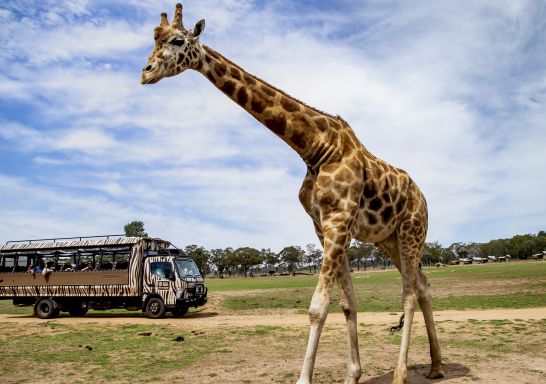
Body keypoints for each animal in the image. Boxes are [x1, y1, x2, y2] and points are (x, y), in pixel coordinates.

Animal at [142, 3, 444, 384]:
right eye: (153, 39)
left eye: (178, 40)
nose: (145, 73)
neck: (316, 149)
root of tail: (424, 198)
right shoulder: (322, 226)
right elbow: (347, 303)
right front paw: (352, 375)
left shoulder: (339, 220)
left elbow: (317, 308)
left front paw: (305, 378)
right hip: (388, 239)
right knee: (422, 285)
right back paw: (435, 366)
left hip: (411, 232)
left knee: (408, 292)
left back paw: (403, 373)